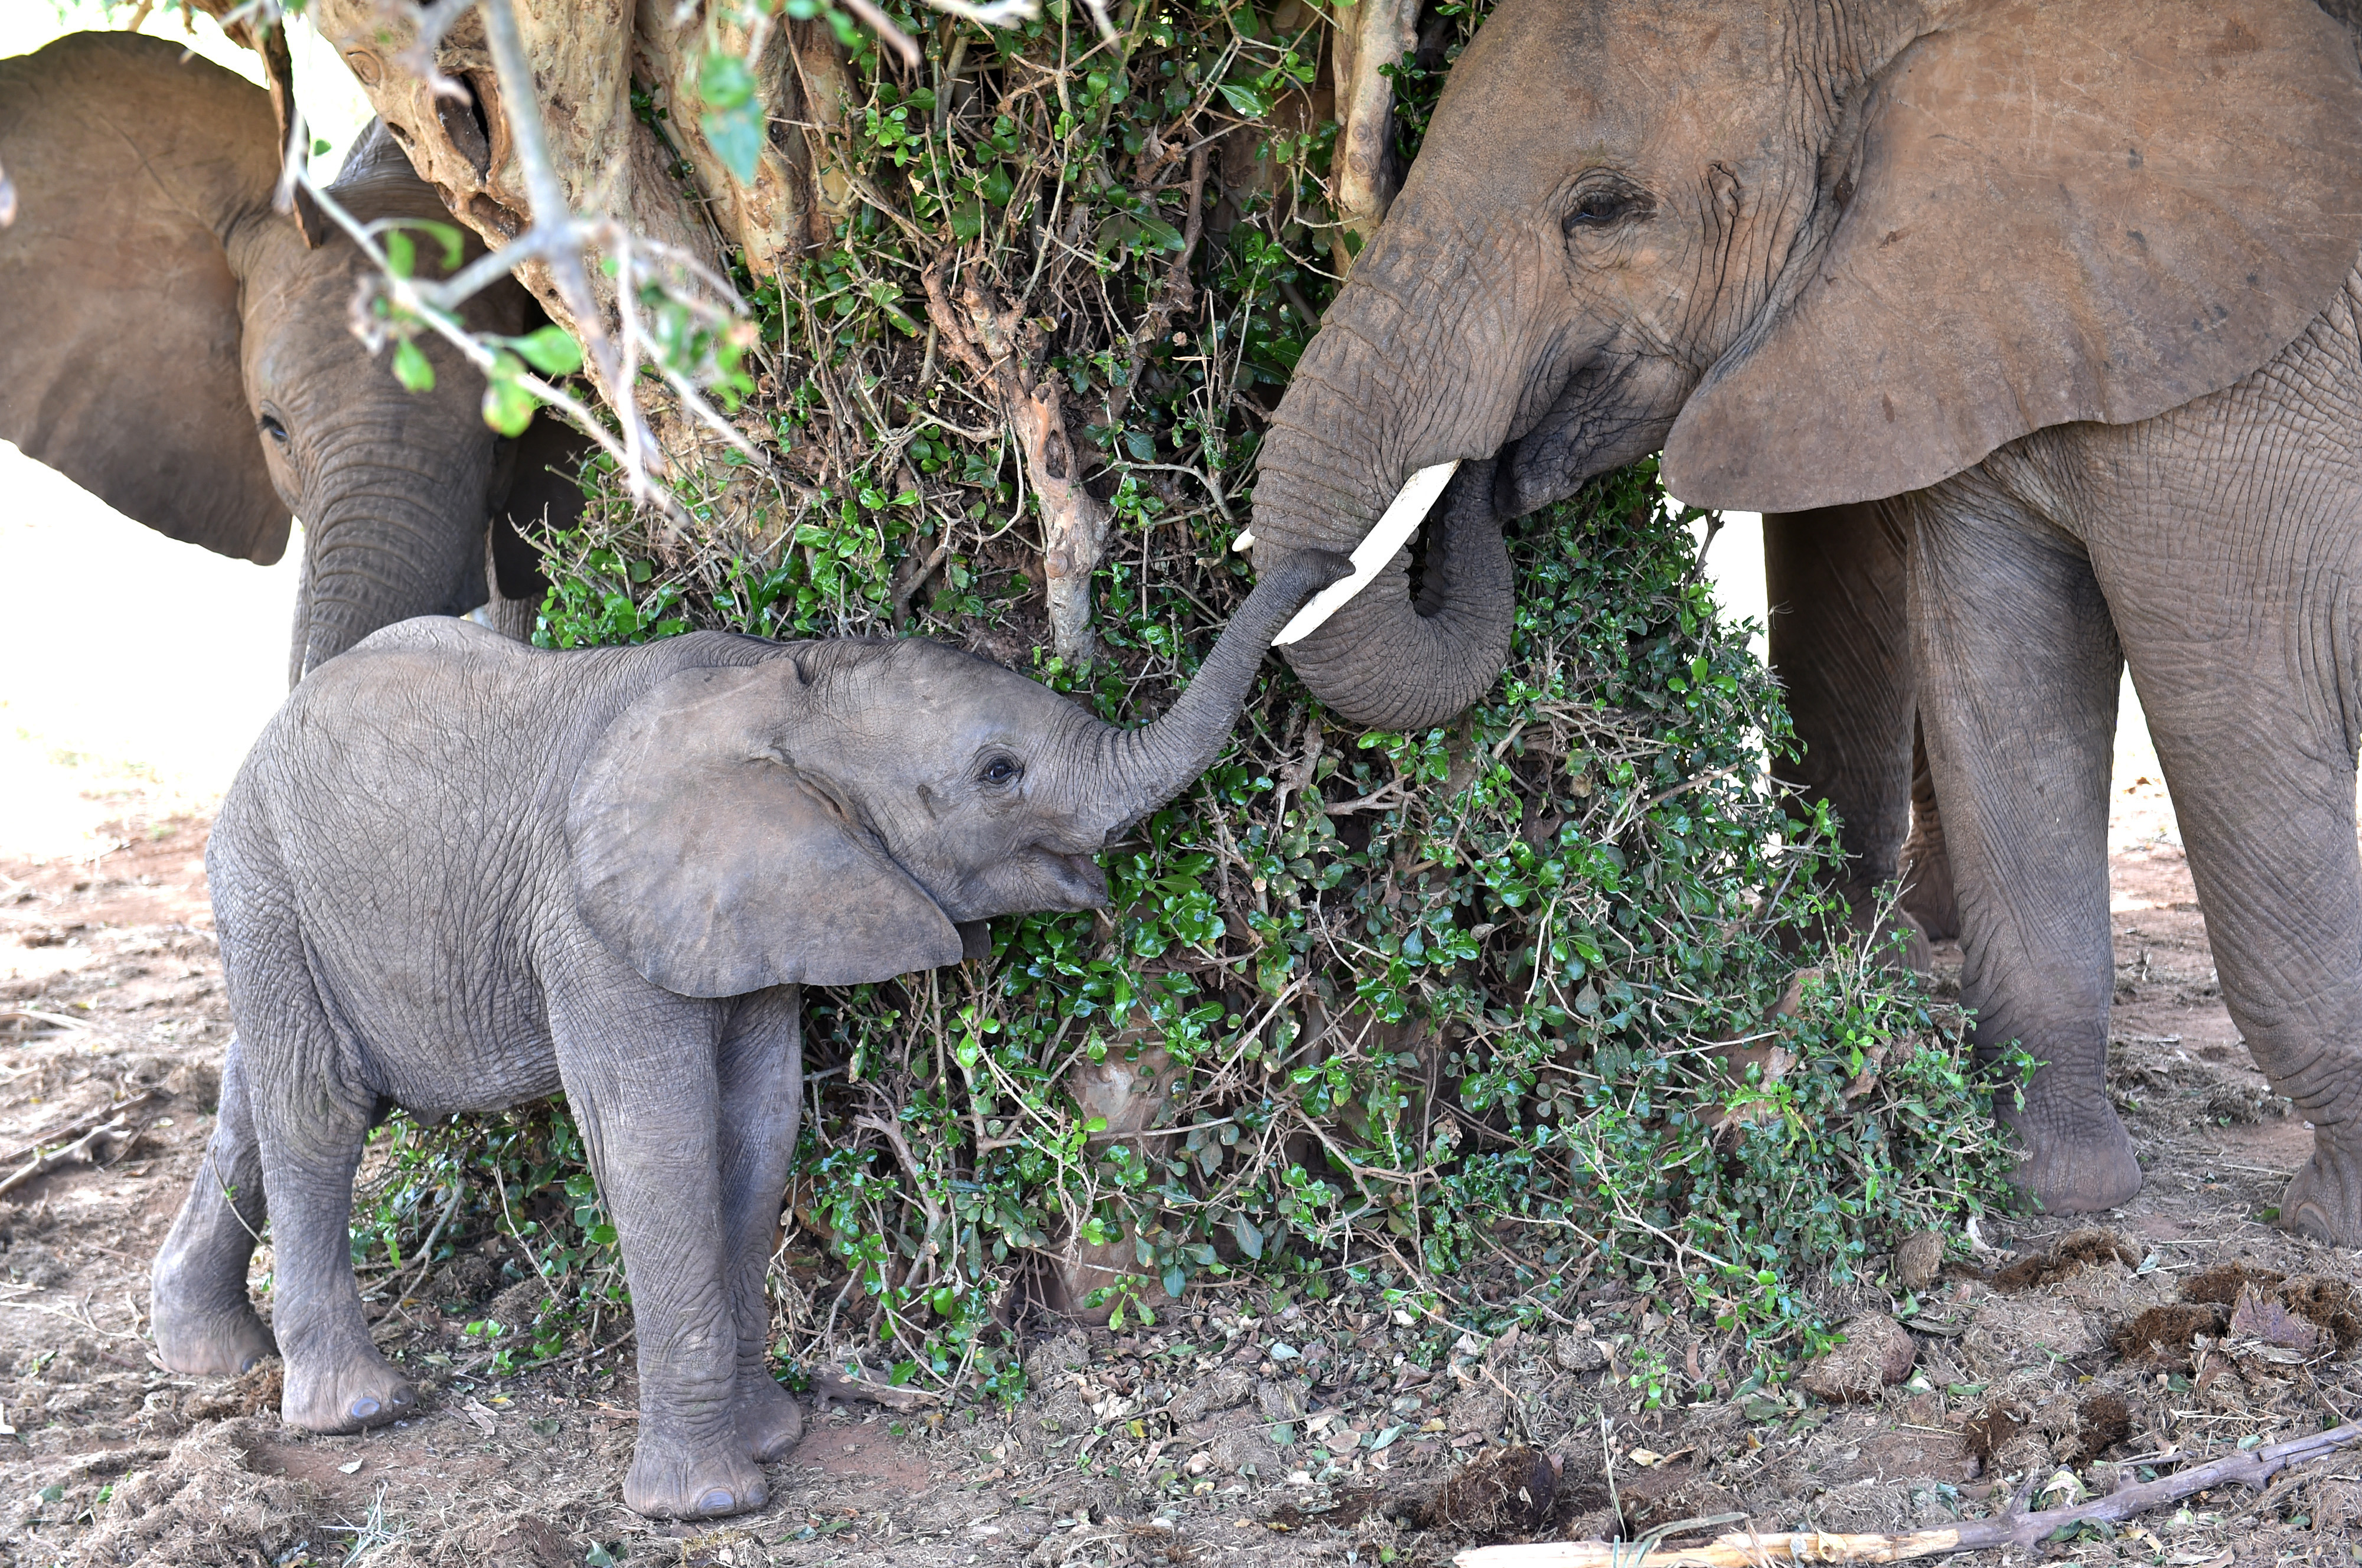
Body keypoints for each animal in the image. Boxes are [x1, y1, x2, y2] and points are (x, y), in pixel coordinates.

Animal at [146, 546, 1349, 1519]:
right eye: (998, 773)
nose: (1332, 559)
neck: (776, 685)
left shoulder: (761, 908)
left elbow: (757, 1129)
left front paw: (773, 1436)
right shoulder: (591, 925)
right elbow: (659, 1141)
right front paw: (710, 1503)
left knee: (255, 1084)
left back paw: (208, 1353)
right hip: (265, 870)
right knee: (320, 1105)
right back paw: (358, 1411)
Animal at [1246, 0, 2362, 1239]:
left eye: (1604, 209)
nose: (1482, 477)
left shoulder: (2230, 386)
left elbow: (2239, 724)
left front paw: (2329, 1220)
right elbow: (2005, 698)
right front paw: (2055, 1193)